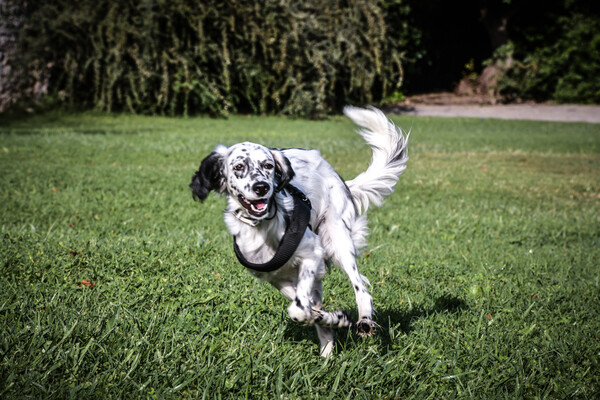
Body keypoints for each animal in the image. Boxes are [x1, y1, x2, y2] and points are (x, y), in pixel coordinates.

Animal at [190, 106, 410, 356]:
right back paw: (327, 353)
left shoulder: (312, 255)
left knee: (361, 290)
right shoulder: (276, 277)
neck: (263, 229)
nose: (262, 187)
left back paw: (363, 321)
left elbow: (299, 310)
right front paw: (336, 319)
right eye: (238, 167)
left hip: (338, 242)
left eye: (268, 166)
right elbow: (308, 311)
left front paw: (336, 318)